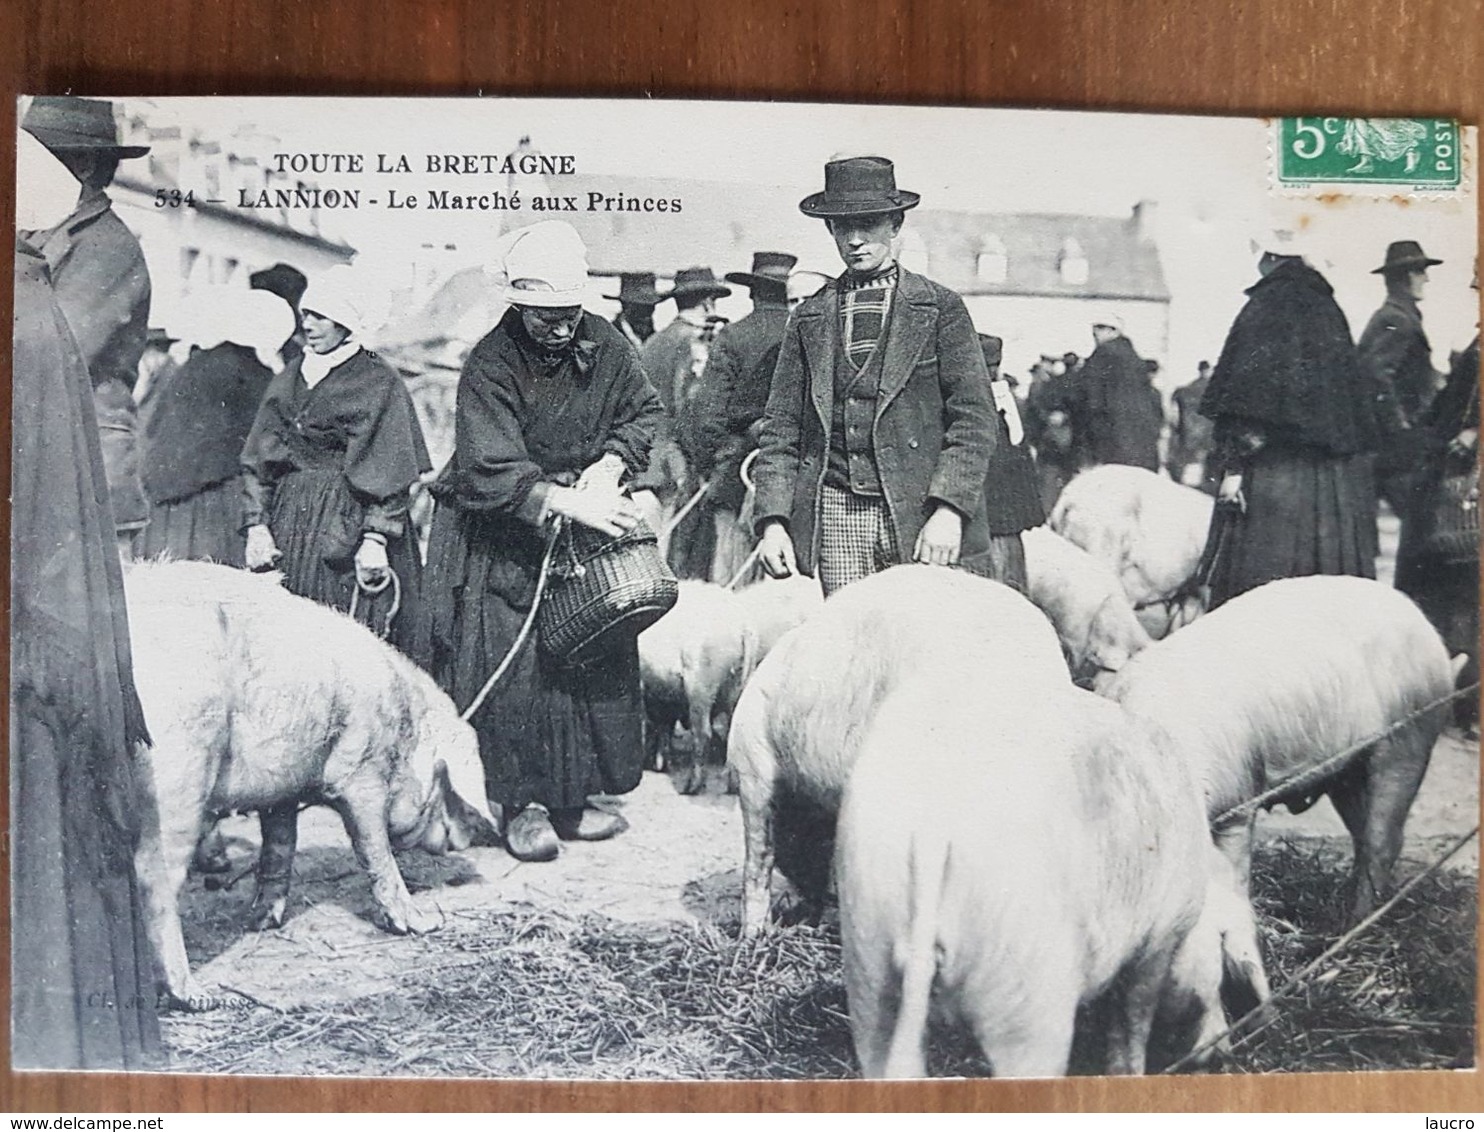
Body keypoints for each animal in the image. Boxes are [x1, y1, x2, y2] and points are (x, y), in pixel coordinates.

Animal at [127, 563, 498, 1014]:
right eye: (445, 784)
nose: (465, 840)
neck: (403, 726)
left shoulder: (282, 788)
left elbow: (280, 846)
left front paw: (260, 921)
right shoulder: (362, 773)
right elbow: (374, 848)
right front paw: (423, 925)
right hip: (179, 770)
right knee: (152, 875)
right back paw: (197, 995)